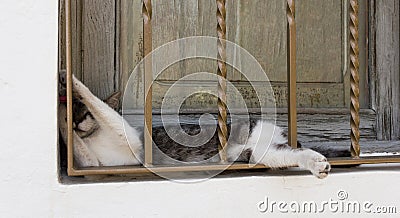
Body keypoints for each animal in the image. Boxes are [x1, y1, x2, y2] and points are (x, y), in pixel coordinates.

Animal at [57, 73, 332, 179]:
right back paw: (317, 164)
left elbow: (97, 103)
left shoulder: (131, 140)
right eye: (77, 113)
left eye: (85, 112)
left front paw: (69, 83)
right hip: (262, 155)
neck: (94, 136)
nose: (77, 120)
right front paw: (63, 117)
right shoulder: (91, 163)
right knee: (292, 153)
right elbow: (77, 145)